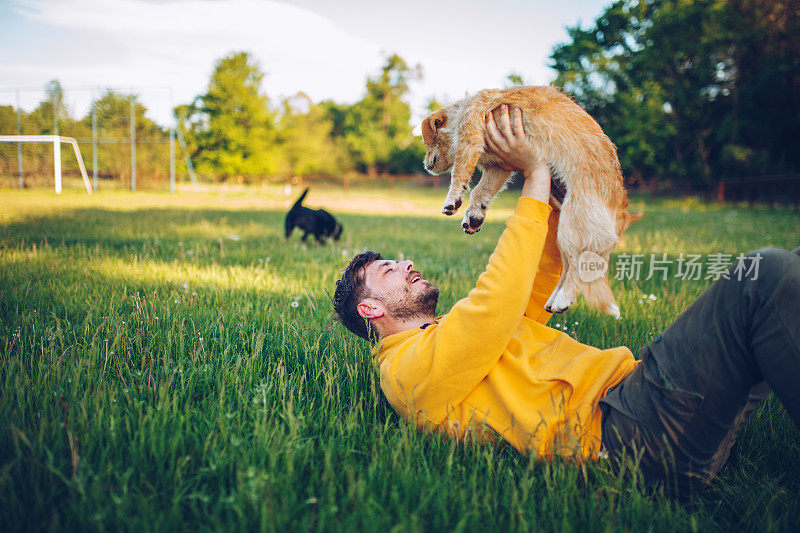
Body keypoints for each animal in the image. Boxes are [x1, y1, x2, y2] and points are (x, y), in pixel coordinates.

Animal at [422, 83, 640, 316]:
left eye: (427, 142)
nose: (425, 165)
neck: (462, 109)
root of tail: (622, 215)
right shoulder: (499, 168)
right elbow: (481, 191)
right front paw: (474, 215)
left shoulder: (470, 137)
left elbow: (459, 174)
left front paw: (452, 200)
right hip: (564, 231)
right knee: (569, 267)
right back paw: (554, 300)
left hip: (573, 226)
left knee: (578, 268)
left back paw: (564, 297)